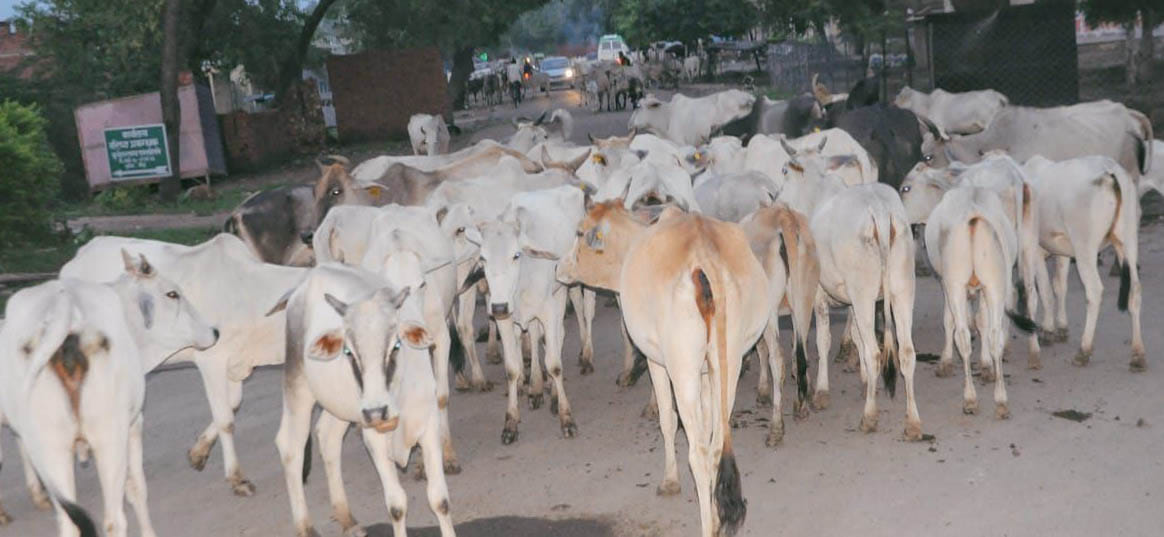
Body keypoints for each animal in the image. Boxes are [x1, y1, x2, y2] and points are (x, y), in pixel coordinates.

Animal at [0, 253, 218, 537]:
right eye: (172, 294)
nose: (215, 331)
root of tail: (63, 309)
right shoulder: (133, 425)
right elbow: (137, 489)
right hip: (108, 438)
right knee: (114, 520)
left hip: (52, 442)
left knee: (69, 524)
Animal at [60, 233, 305, 497]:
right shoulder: (212, 360)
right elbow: (225, 419)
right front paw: (237, 478)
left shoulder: (237, 364)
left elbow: (232, 405)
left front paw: (198, 453)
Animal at [267, 264, 456, 537]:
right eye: (348, 351)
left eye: (396, 345)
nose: (376, 411)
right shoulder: (373, 435)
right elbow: (396, 505)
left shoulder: (428, 424)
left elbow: (439, 499)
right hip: (298, 383)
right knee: (291, 445)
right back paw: (305, 527)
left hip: (340, 402)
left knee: (328, 437)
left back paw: (346, 518)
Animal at [556, 201, 767, 537]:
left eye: (579, 233)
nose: (558, 267)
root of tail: (705, 257)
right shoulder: (705, 373)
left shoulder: (657, 360)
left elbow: (667, 420)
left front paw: (669, 481)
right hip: (730, 362)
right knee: (716, 446)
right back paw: (717, 517)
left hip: (681, 369)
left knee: (699, 453)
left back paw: (707, 526)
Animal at [1022, 155, 1145, 371]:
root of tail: (1109, 172)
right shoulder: (1061, 250)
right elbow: (1059, 285)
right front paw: (1062, 327)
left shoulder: (1035, 250)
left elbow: (1046, 291)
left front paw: (1048, 330)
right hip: (1128, 240)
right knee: (1135, 289)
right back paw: (1137, 354)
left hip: (1084, 247)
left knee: (1094, 291)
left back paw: (1084, 350)